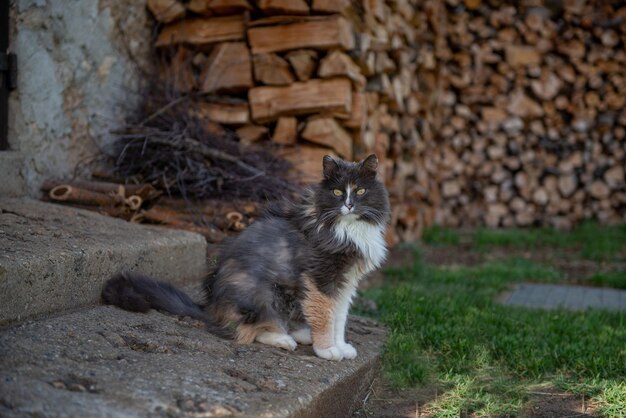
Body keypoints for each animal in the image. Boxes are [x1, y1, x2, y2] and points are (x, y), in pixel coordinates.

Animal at [103, 153, 388, 360]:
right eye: (338, 192)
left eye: (361, 191)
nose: (349, 204)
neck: (348, 228)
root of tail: (210, 308)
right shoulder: (320, 277)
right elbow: (324, 314)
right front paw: (327, 350)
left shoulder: (346, 281)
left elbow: (339, 317)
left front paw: (341, 346)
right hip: (264, 294)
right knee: (249, 329)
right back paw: (286, 339)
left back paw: (301, 334)